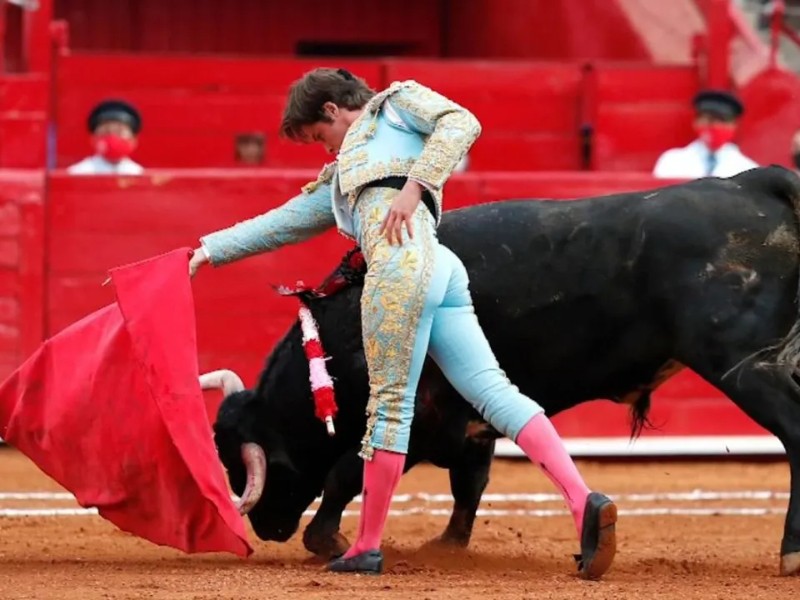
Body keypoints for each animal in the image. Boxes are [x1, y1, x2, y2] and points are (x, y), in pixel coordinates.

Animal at [209, 166, 800, 576]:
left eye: (256, 464)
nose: (265, 527)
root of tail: (754, 184)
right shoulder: (471, 424)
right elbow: (469, 485)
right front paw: (447, 548)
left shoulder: (418, 414)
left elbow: (349, 473)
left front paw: (330, 542)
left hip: (742, 363)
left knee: (792, 433)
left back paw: (790, 552)